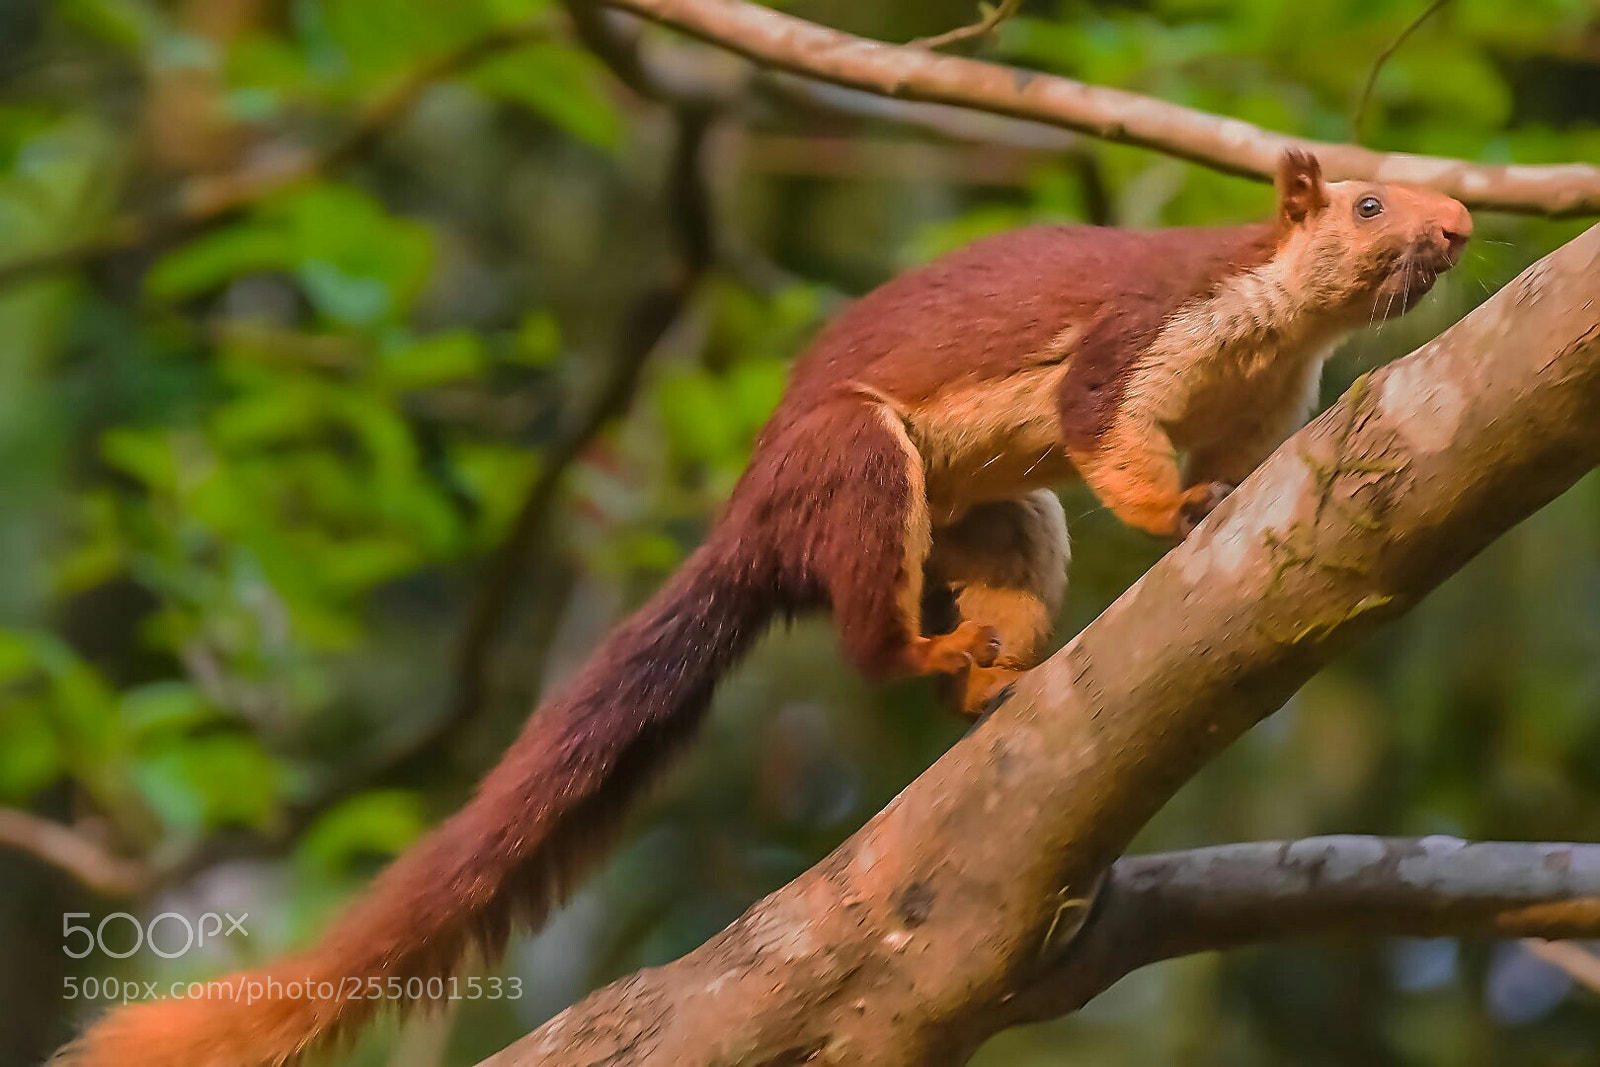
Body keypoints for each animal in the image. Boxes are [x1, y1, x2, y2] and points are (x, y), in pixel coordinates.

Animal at [58, 150, 1470, 1066]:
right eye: (1365, 201)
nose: (1460, 226)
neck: (1277, 328)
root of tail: (750, 525)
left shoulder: (1268, 404)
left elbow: (1235, 456)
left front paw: (1219, 494)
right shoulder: (1138, 338)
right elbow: (1102, 430)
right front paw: (1175, 507)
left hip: (998, 516)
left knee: (1003, 563)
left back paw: (995, 666)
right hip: (858, 465)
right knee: (863, 637)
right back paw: (932, 645)